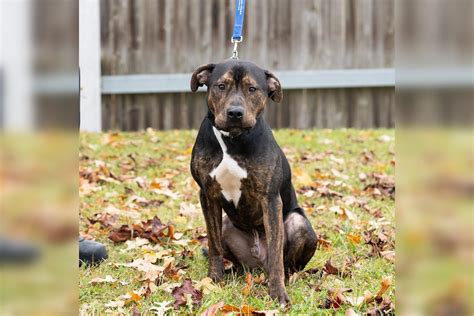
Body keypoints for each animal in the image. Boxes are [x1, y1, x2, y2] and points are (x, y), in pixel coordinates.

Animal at [188, 59, 314, 306]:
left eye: (252, 89)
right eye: (221, 86)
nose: (235, 113)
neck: (232, 139)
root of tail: (257, 265)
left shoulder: (270, 198)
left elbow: (276, 254)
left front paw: (278, 294)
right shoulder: (207, 194)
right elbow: (213, 244)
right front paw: (213, 280)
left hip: (298, 223)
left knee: (286, 264)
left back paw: (288, 278)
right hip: (227, 226)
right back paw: (232, 272)